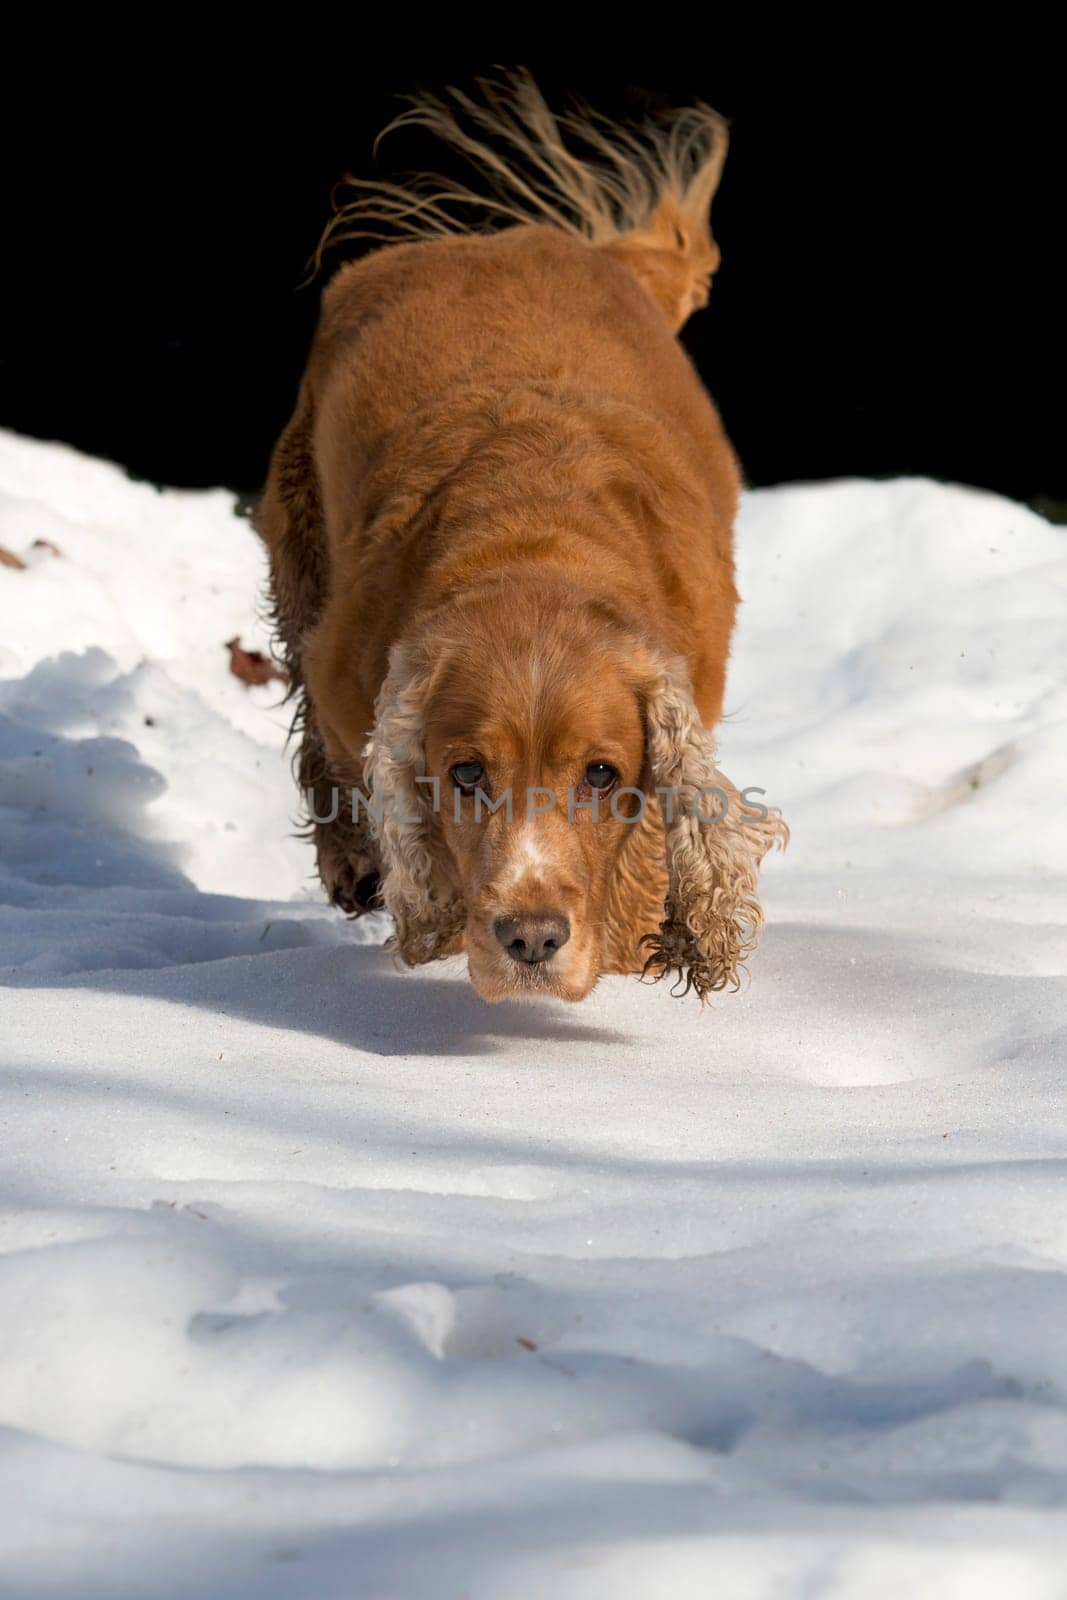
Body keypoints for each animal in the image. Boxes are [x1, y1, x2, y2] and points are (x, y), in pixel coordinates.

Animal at [255, 78, 790, 998]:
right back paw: (353, 867)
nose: (531, 939)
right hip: (298, 542)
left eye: (601, 774)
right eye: (466, 773)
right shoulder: (344, 680)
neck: (537, 554)